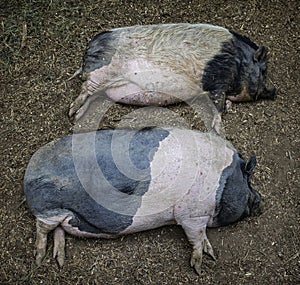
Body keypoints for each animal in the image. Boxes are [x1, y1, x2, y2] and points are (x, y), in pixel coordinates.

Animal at [24, 127, 262, 272]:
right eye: (248, 179)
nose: (260, 201)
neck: (220, 181)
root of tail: (30, 170)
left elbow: (201, 236)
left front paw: (209, 253)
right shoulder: (191, 215)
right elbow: (195, 237)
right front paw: (200, 265)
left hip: (63, 213)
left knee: (60, 230)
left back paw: (60, 261)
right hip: (48, 208)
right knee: (42, 228)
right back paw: (38, 259)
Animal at [69, 22, 276, 119]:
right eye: (264, 71)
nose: (274, 90)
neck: (237, 61)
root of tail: (88, 50)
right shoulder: (217, 80)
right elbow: (217, 107)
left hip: (106, 84)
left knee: (93, 96)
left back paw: (77, 115)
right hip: (100, 73)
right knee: (85, 90)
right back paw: (71, 113)